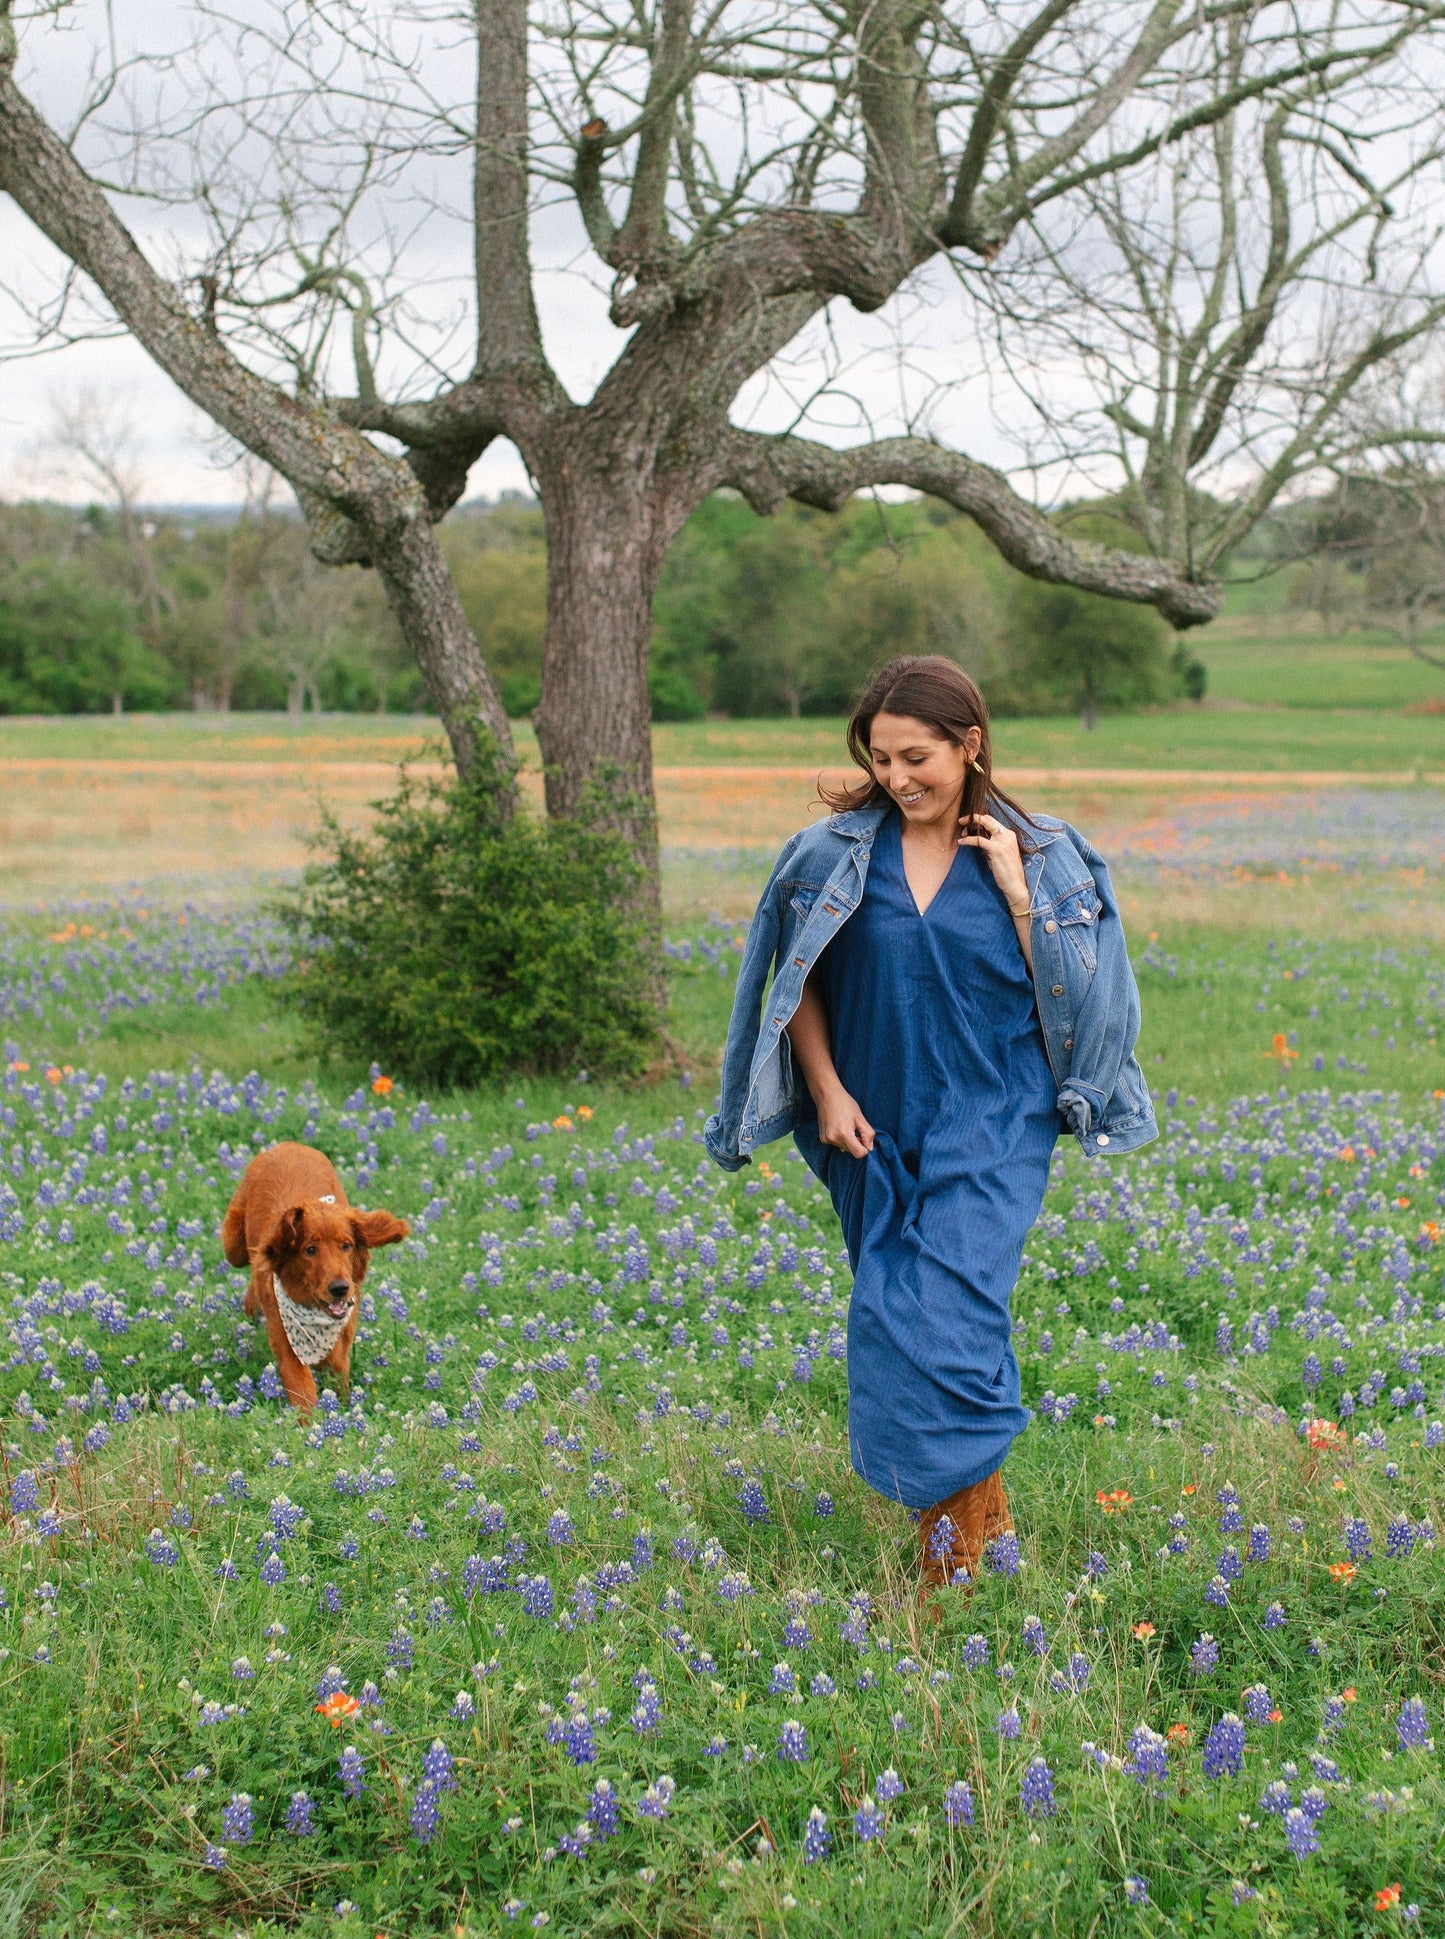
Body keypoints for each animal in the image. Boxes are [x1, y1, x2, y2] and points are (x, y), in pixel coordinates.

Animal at [223, 1132, 409, 1411]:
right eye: (310, 1249)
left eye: (346, 1245)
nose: (340, 1288)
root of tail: (290, 1145)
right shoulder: (288, 1349)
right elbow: (305, 1398)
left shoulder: (341, 1345)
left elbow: (337, 1375)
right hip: (233, 1245)